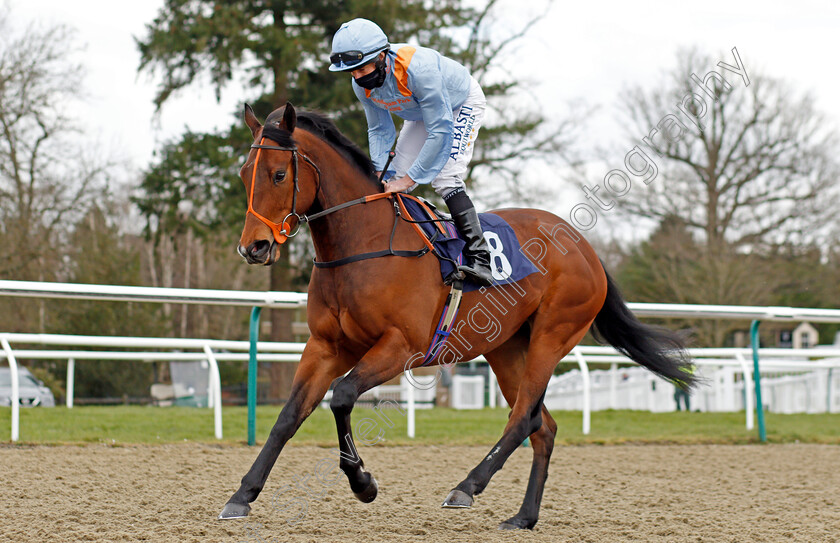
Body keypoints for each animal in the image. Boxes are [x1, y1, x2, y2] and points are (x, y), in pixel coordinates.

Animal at [221, 103, 696, 532]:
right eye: (245, 173)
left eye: (278, 175)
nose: (254, 247)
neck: (362, 245)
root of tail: (586, 247)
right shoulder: (326, 345)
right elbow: (289, 416)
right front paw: (241, 495)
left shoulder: (401, 346)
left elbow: (342, 396)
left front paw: (363, 482)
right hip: (507, 348)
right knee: (542, 426)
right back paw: (523, 517)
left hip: (553, 335)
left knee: (523, 417)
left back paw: (467, 486)